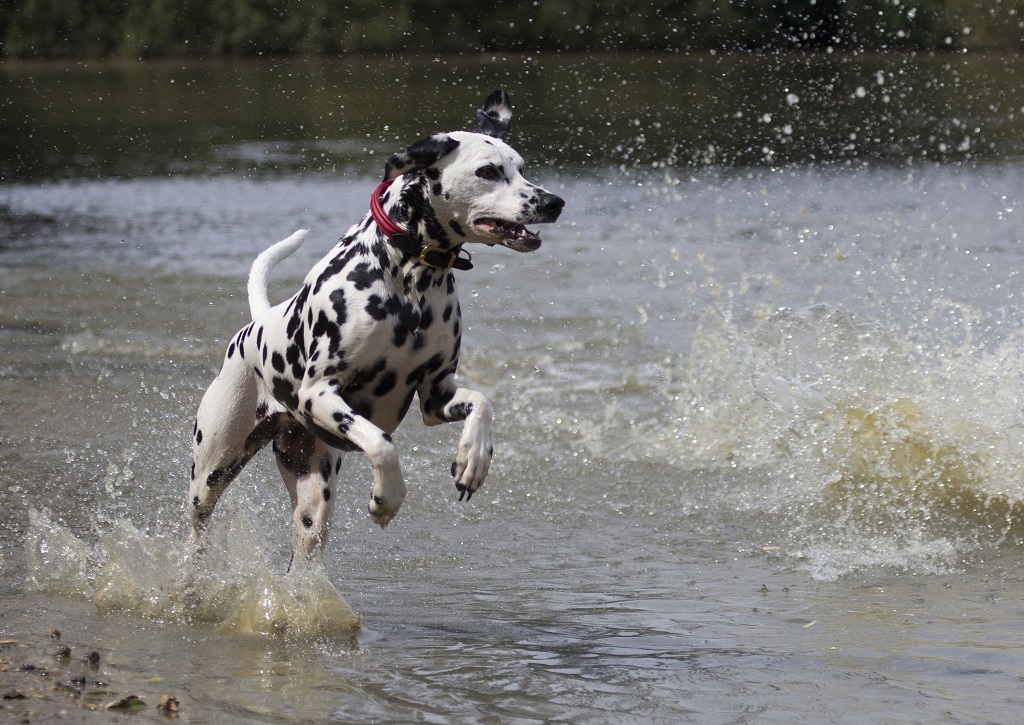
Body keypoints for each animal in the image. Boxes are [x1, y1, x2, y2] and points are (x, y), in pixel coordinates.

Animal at [188, 89, 565, 565]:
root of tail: (257, 322)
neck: (410, 285)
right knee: (197, 529)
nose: (554, 202)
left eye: (521, 167)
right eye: (488, 171)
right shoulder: (319, 395)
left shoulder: (436, 395)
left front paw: (473, 459)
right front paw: (388, 497)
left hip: (313, 498)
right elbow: (383, 443)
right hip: (212, 470)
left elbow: (482, 402)